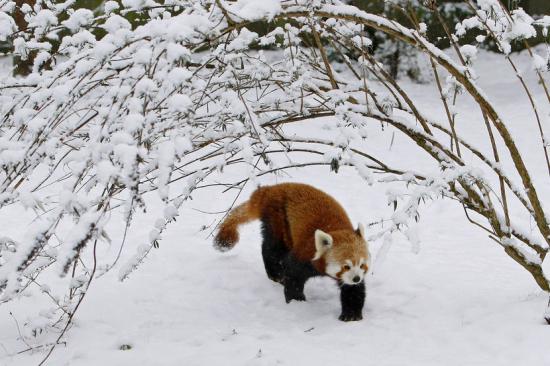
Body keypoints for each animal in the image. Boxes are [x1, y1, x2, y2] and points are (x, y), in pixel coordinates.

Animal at [213, 182, 374, 320]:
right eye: (346, 266)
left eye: (362, 265)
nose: (356, 278)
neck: (335, 230)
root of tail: (271, 188)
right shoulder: (305, 252)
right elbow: (293, 274)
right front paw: (297, 301)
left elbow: (353, 290)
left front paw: (351, 315)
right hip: (278, 217)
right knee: (272, 249)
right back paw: (276, 274)